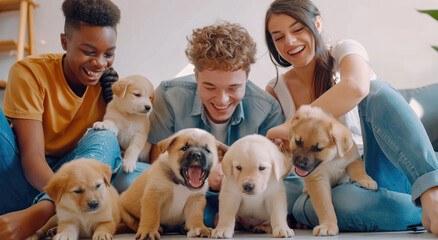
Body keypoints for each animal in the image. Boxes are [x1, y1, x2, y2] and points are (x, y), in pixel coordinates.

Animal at [290, 105, 378, 236]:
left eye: (318, 148)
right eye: (298, 142)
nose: (299, 164)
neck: (332, 160)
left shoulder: (352, 158)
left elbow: (358, 169)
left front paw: (366, 180)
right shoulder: (317, 180)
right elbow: (325, 206)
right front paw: (328, 226)